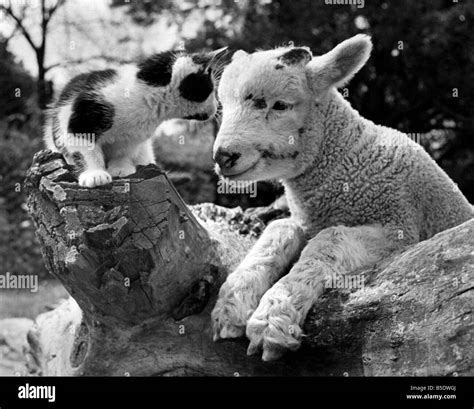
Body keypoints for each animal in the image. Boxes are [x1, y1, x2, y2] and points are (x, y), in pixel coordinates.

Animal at [44, 47, 228, 186]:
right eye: (211, 89)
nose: (218, 105)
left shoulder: (133, 137)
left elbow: (123, 152)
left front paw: (121, 168)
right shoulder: (80, 118)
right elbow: (85, 150)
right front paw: (94, 173)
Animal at [211, 35, 474, 360]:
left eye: (281, 105)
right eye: (223, 106)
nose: (223, 156)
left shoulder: (399, 226)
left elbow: (331, 238)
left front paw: (274, 316)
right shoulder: (307, 221)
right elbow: (279, 229)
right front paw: (231, 303)